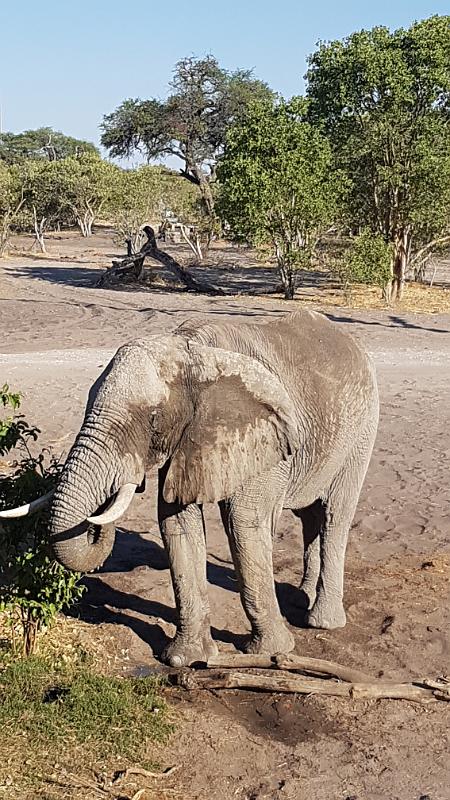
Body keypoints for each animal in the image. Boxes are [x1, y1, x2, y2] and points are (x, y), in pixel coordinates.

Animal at [0, 310, 380, 664]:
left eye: (153, 419)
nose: (98, 521)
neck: (192, 351)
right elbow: (176, 525)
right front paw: (187, 660)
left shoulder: (261, 436)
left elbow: (244, 525)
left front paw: (271, 652)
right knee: (309, 516)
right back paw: (301, 600)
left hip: (363, 430)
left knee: (334, 516)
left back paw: (321, 621)